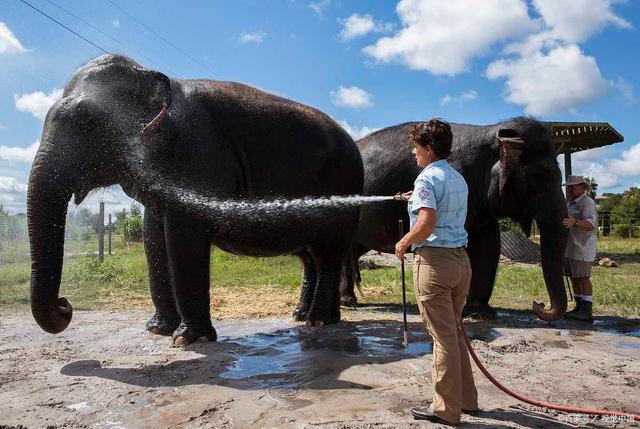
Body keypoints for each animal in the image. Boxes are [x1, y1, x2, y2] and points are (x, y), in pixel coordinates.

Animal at [27, 56, 362, 344]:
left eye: (88, 123)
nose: (65, 304)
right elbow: (152, 238)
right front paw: (157, 330)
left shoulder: (199, 158)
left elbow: (184, 237)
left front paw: (189, 339)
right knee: (311, 257)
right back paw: (303, 316)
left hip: (344, 189)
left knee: (328, 253)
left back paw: (319, 321)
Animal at [340, 118, 568, 320]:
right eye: (540, 177)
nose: (539, 304)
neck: (490, 132)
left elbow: (489, 243)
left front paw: (480, 313)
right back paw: (347, 302)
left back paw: (348, 300)